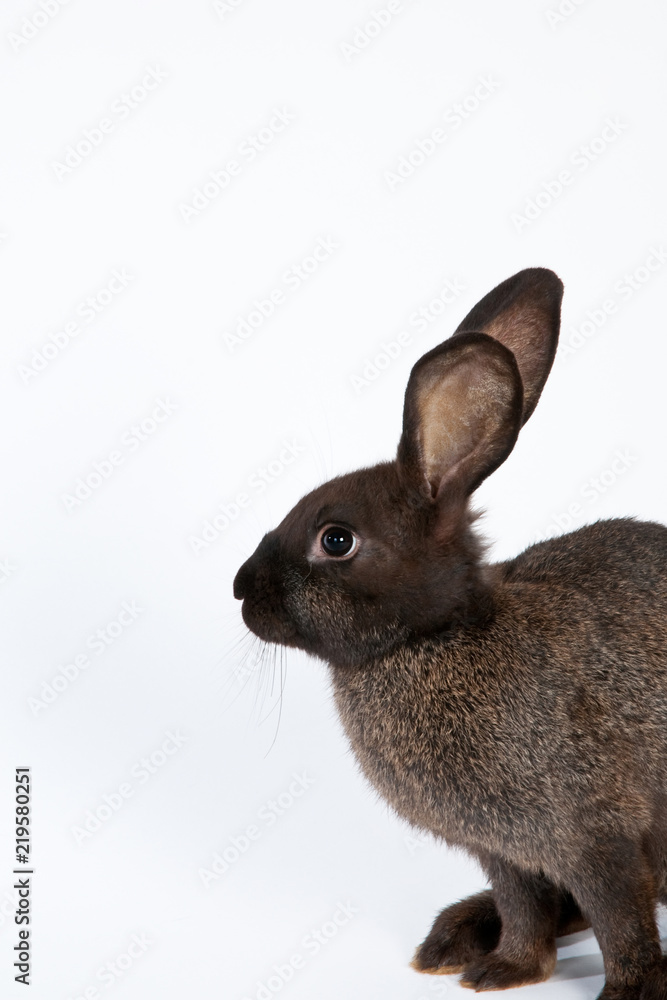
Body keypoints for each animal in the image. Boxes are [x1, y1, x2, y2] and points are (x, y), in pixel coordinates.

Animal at [233, 268, 667, 999]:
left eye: (337, 540)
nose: (240, 590)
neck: (431, 639)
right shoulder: (504, 853)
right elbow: (524, 909)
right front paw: (504, 970)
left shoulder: (597, 835)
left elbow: (620, 922)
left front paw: (628, 993)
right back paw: (452, 939)